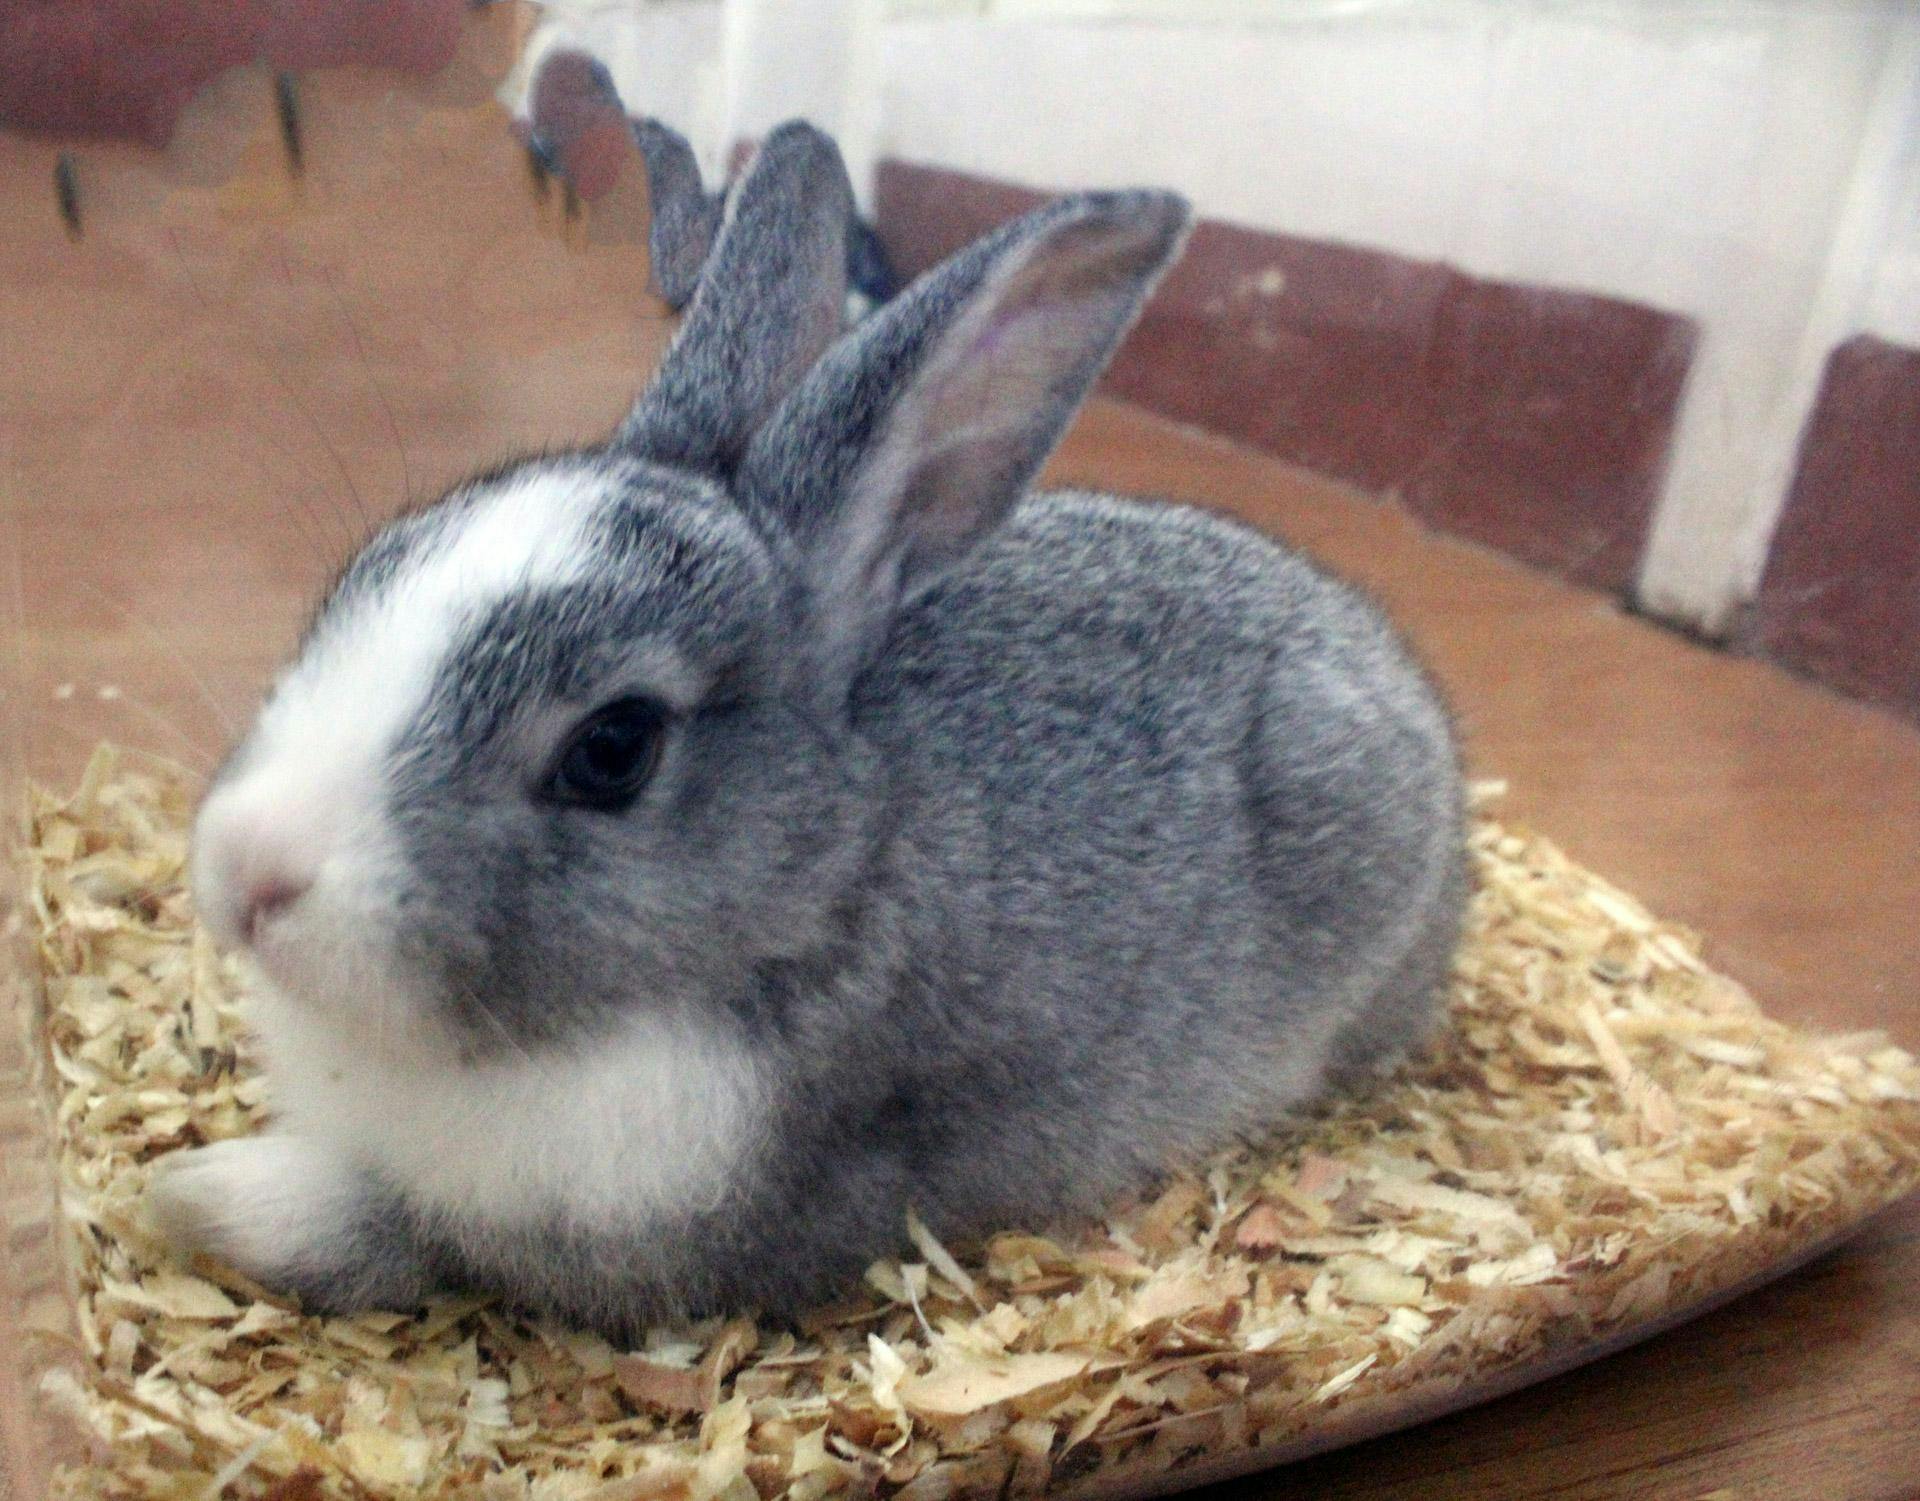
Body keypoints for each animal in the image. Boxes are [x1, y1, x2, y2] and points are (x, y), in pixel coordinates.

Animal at [152, 119, 1467, 1343]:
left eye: (613, 749)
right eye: (367, 570)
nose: (246, 872)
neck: (823, 882)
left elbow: (408, 1235)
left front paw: (199, 1192)